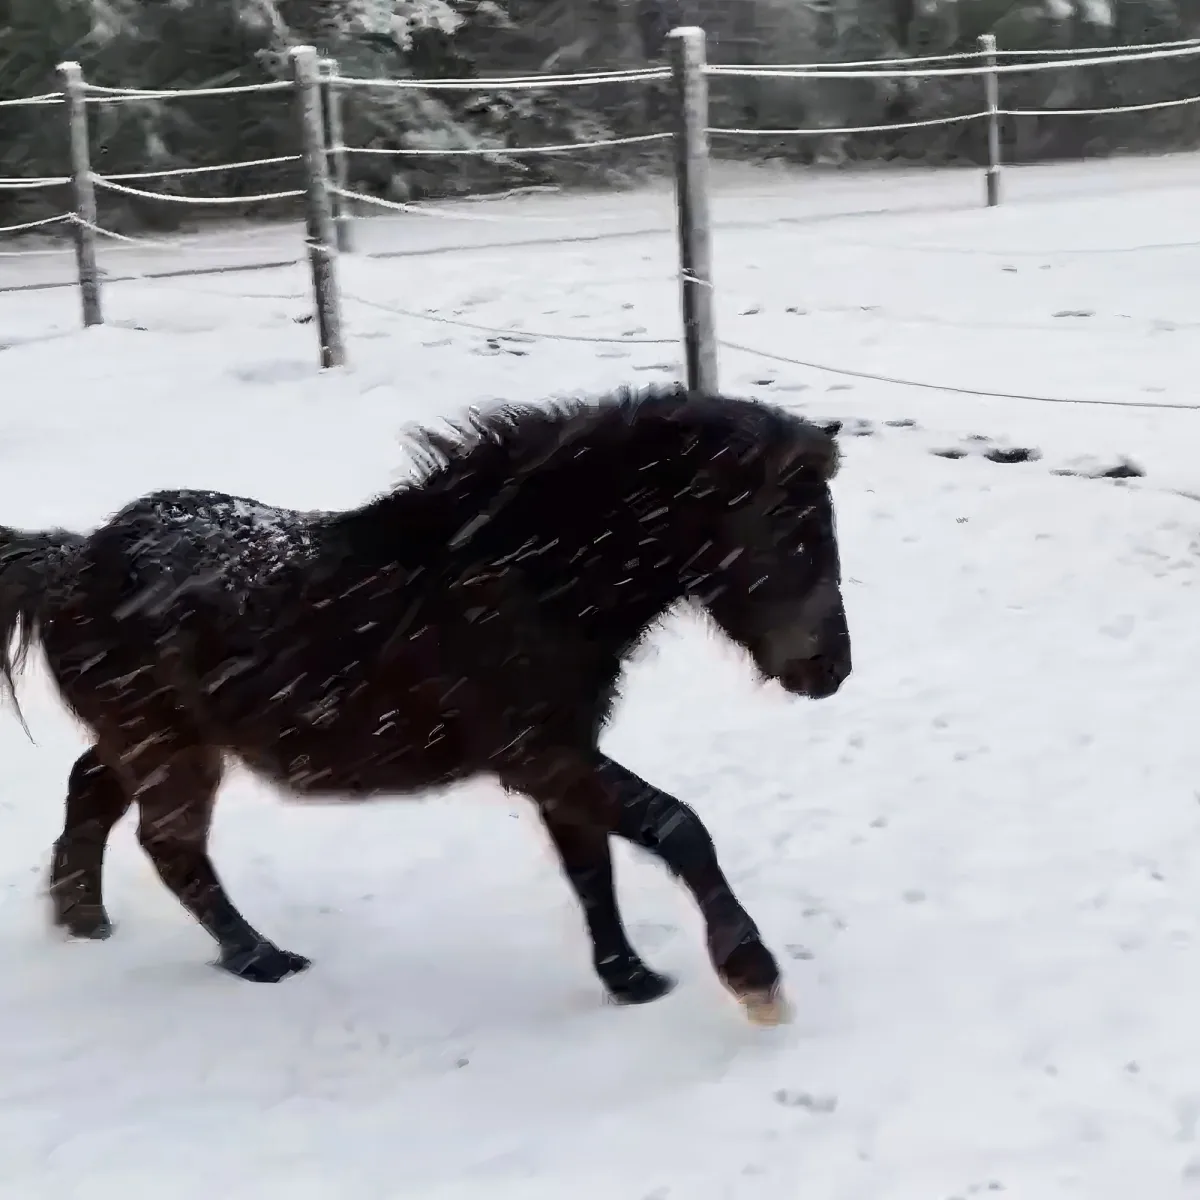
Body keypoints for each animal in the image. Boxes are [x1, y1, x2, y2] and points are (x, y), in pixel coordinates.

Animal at [0, 383, 850, 1026]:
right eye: (792, 527)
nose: (832, 669)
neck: (525, 576)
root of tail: (71, 559)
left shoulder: (561, 756)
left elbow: (591, 867)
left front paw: (631, 981)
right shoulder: (543, 755)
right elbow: (677, 829)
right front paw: (756, 982)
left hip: (152, 739)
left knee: (92, 793)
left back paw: (84, 921)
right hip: (169, 748)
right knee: (170, 845)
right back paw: (261, 958)